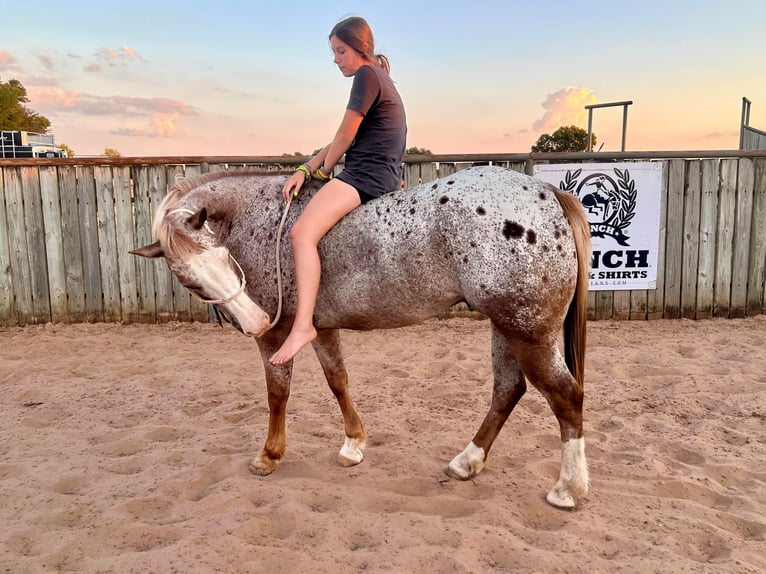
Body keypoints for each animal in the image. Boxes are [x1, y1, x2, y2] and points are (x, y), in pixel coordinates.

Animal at [130, 165, 592, 508]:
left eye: (224, 257)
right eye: (190, 280)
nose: (256, 321)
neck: (259, 218)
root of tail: (547, 191)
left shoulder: (279, 335)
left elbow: (277, 393)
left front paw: (269, 455)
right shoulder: (319, 328)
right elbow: (338, 381)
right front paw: (354, 444)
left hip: (527, 330)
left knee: (565, 396)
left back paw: (568, 489)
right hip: (506, 327)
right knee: (508, 390)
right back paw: (467, 462)